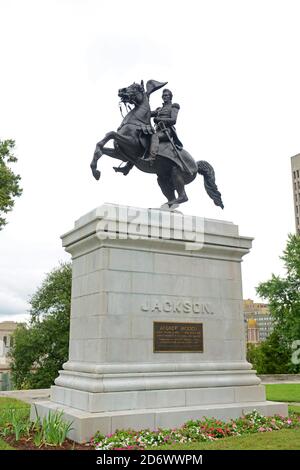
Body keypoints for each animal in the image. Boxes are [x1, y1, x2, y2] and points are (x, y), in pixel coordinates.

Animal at [90, 80, 224, 208]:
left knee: (183, 196)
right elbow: (101, 148)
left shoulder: (131, 144)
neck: (135, 122)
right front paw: (95, 170)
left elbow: (110, 134)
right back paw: (165, 206)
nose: (121, 90)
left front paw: (96, 169)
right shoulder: (121, 154)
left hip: (176, 173)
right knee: (171, 195)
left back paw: (169, 204)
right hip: (163, 178)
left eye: (137, 87)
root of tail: (195, 164)